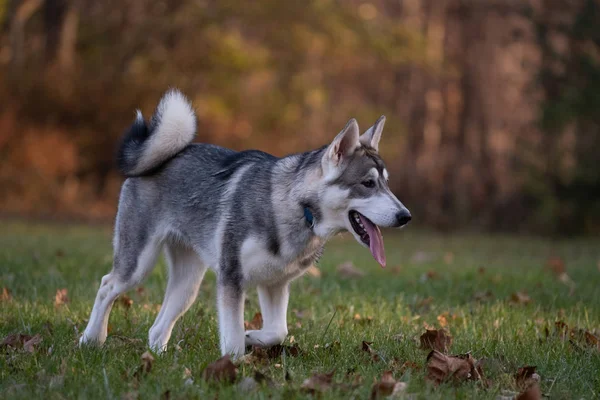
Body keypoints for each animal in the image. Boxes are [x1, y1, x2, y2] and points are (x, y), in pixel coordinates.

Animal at [79, 89, 410, 358]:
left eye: (387, 183)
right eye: (368, 183)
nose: (405, 216)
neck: (297, 209)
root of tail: (164, 154)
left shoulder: (275, 283)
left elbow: (278, 331)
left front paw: (253, 337)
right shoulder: (231, 279)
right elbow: (233, 336)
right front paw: (234, 363)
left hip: (188, 283)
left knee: (157, 327)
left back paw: (158, 357)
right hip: (139, 263)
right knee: (108, 285)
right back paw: (91, 339)